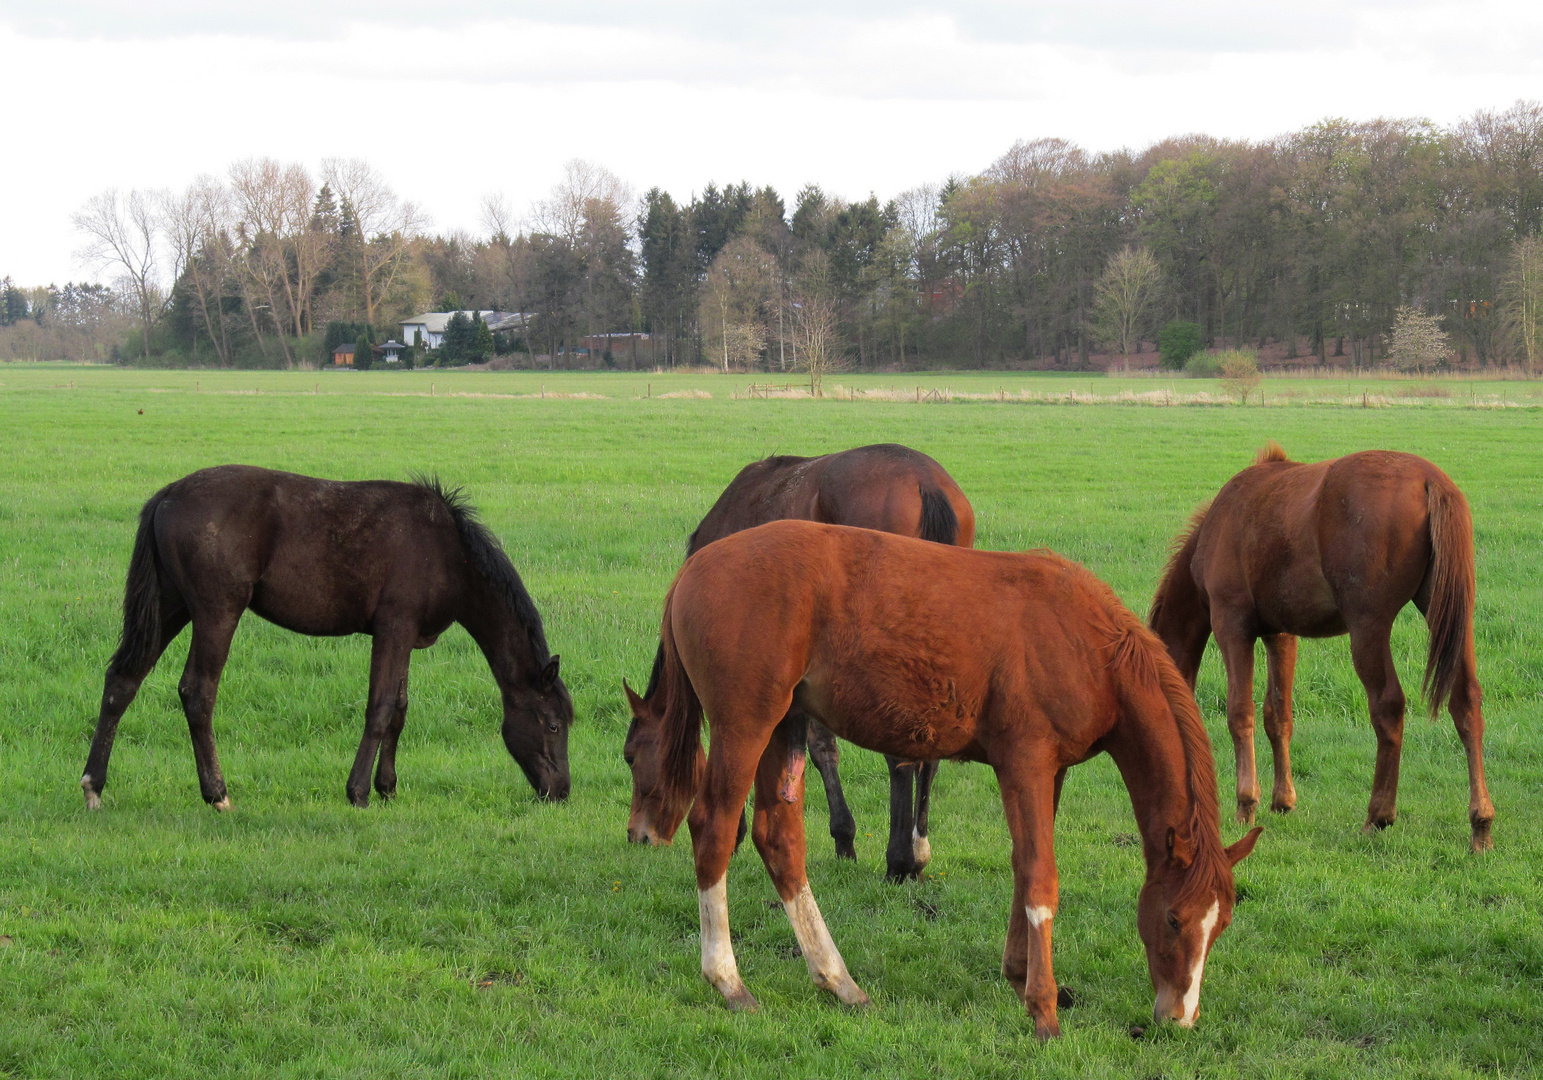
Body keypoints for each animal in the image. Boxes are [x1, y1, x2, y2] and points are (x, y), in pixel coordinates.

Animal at [81, 462, 573, 808]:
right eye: (552, 723)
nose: (561, 791)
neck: (448, 553)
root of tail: (167, 495)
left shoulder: (406, 636)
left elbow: (399, 709)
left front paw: (387, 787)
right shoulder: (393, 629)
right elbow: (380, 709)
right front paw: (358, 791)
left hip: (170, 607)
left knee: (122, 681)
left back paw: (94, 785)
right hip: (216, 612)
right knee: (197, 693)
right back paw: (217, 793)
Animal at [620, 444, 969, 882]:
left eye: (630, 756)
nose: (638, 835)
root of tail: (924, 481)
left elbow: (809, 749)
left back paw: (900, 860)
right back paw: (918, 851)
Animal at [623, 524, 1252, 1036]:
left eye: (1222, 925)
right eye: (1173, 919)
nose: (1179, 1017)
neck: (1086, 643)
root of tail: (692, 571)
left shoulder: (1050, 772)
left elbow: (1024, 868)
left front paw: (1019, 975)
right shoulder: (1025, 761)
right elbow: (1041, 878)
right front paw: (1044, 1009)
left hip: (783, 726)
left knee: (778, 838)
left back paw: (838, 981)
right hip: (745, 725)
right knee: (713, 829)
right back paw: (728, 981)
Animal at [1147, 444, 1493, 845]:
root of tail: (1429, 480)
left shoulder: (1232, 627)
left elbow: (1240, 713)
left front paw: (1246, 804)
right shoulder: (1280, 635)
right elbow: (1277, 715)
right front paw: (1283, 801)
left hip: (1368, 627)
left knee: (1388, 705)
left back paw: (1378, 815)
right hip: (1450, 618)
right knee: (1466, 703)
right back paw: (1481, 823)